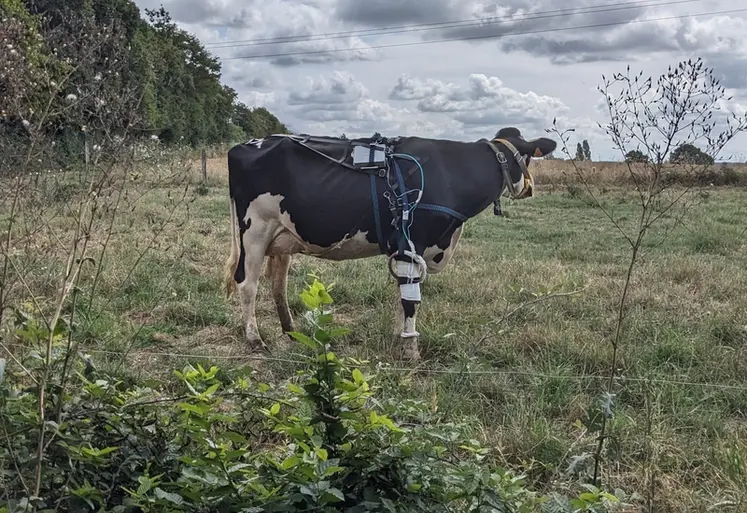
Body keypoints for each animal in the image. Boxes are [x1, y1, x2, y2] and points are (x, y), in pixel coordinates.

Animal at [223, 126, 557, 360]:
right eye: (527, 157)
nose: (530, 188)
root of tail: (243, 145)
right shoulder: (411, 242)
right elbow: (410, 300)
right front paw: (411, 351)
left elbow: (403, 296)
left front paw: (401, 339)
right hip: (254, 231)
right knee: (247, 284)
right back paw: (255, 339)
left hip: (282, 238)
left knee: (278, 283)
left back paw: (291, 331)